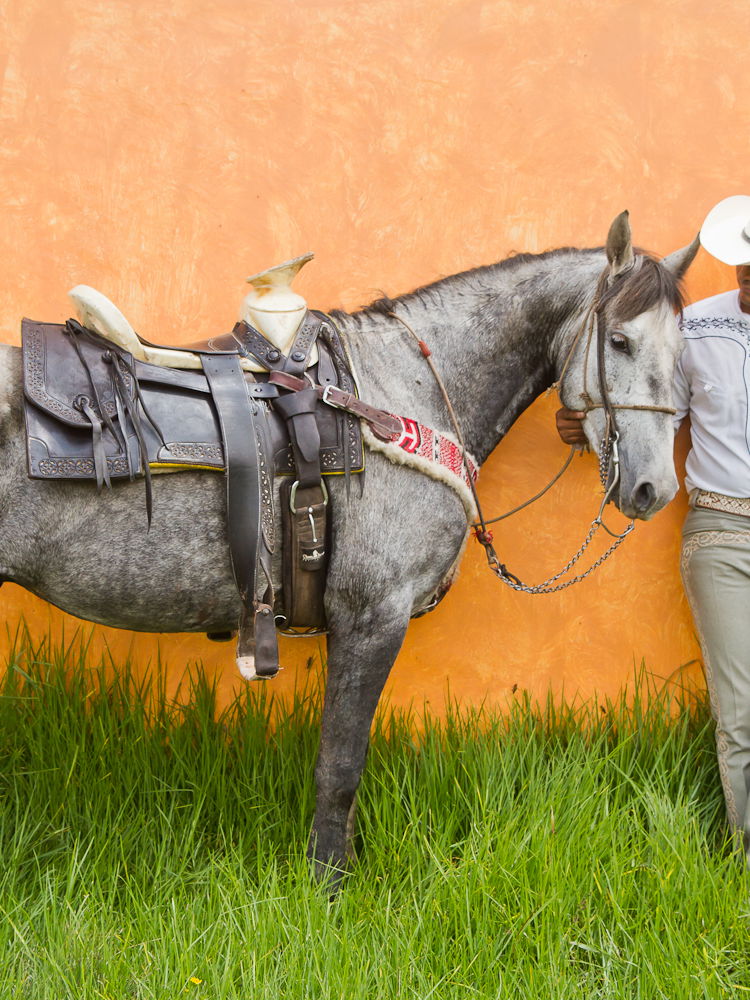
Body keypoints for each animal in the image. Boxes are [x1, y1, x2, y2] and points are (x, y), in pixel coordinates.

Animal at [0, 212, 697, 882]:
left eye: (682, 349)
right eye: (619, 341)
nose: (653, 488)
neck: (398, 395)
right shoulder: (371, 616)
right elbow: (340, 763)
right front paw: (329, 882)